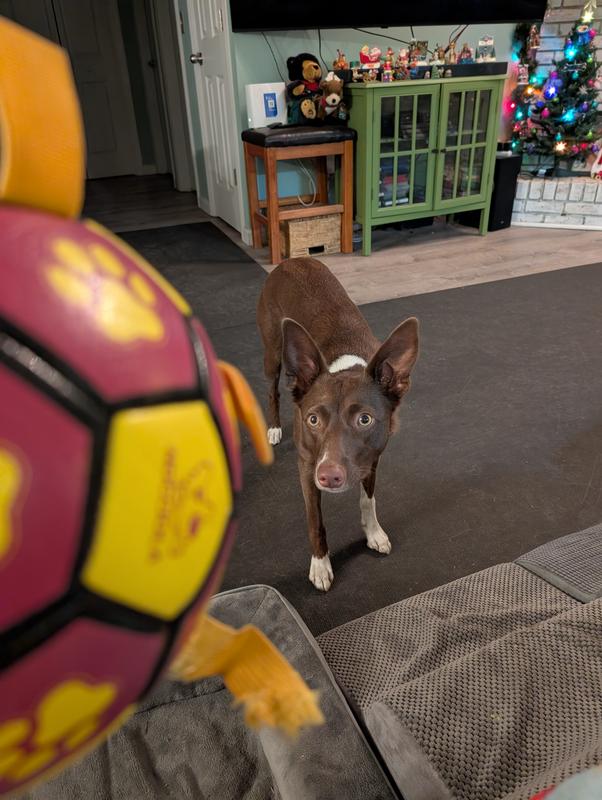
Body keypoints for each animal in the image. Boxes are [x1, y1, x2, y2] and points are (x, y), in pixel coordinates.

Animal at [257, 257, 419, 591]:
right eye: (313, 419)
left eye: (364, 419)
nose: (329, 476)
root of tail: (293, 260)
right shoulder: (307, 466)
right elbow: (315, 521)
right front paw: (320, 565)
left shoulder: (371, 459)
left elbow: (368, 499)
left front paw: (373, 532)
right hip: (273, 351)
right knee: (271, 389)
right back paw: (274, 428)